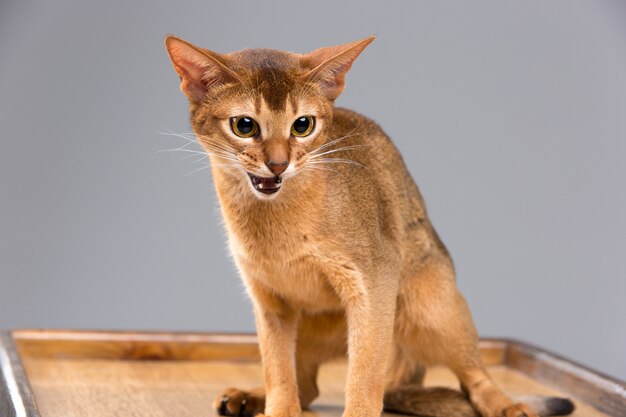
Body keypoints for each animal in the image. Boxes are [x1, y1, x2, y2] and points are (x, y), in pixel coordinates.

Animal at [163, 35, 572, 416]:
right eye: (244, 126)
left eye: (302, 125)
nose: (278, 164)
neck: (275, 222)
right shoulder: (269, 300)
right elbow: (278, 371)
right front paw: (277, 409)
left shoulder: (373, 284)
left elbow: (364, 372)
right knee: (306, 385)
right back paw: (247, 398)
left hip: (432, 306)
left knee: (475, 374)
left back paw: (506, 406)